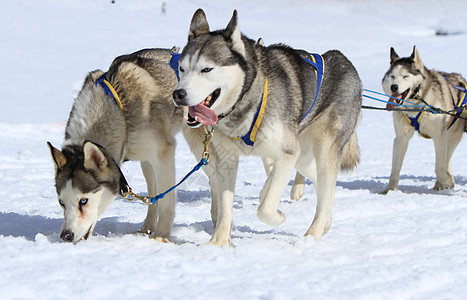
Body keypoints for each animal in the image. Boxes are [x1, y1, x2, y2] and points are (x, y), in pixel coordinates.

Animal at [46, 48, 188, 243]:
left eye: (83, 201)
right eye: (61, 202)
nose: (66, 236)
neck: (119, 114)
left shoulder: (163, 153)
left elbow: (166, 200)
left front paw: (161, 237)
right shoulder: (148, 157)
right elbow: (155, 197)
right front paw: (148, 231)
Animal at [174, 9, 364, 247]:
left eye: (206, 69)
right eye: (182, 69)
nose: (178, 94)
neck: (246, 97)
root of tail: (345, 62)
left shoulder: (286, 154)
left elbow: (265, 209)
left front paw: (278, 216)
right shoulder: (228, 160)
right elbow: (226, 207)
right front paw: (217, 243)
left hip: (322, 149)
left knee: (324, 187)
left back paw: (312, 234)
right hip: (302, 154)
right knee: (322, 186)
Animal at [382, 46, 466, 192]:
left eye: (405, 76)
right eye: (392, 76)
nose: (394, 86)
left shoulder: (439, 136)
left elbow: (440, 168)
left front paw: (447, 180)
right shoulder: (401, 138)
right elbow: (395, 170)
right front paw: (390, 191)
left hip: (453, 136)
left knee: (445, 160)